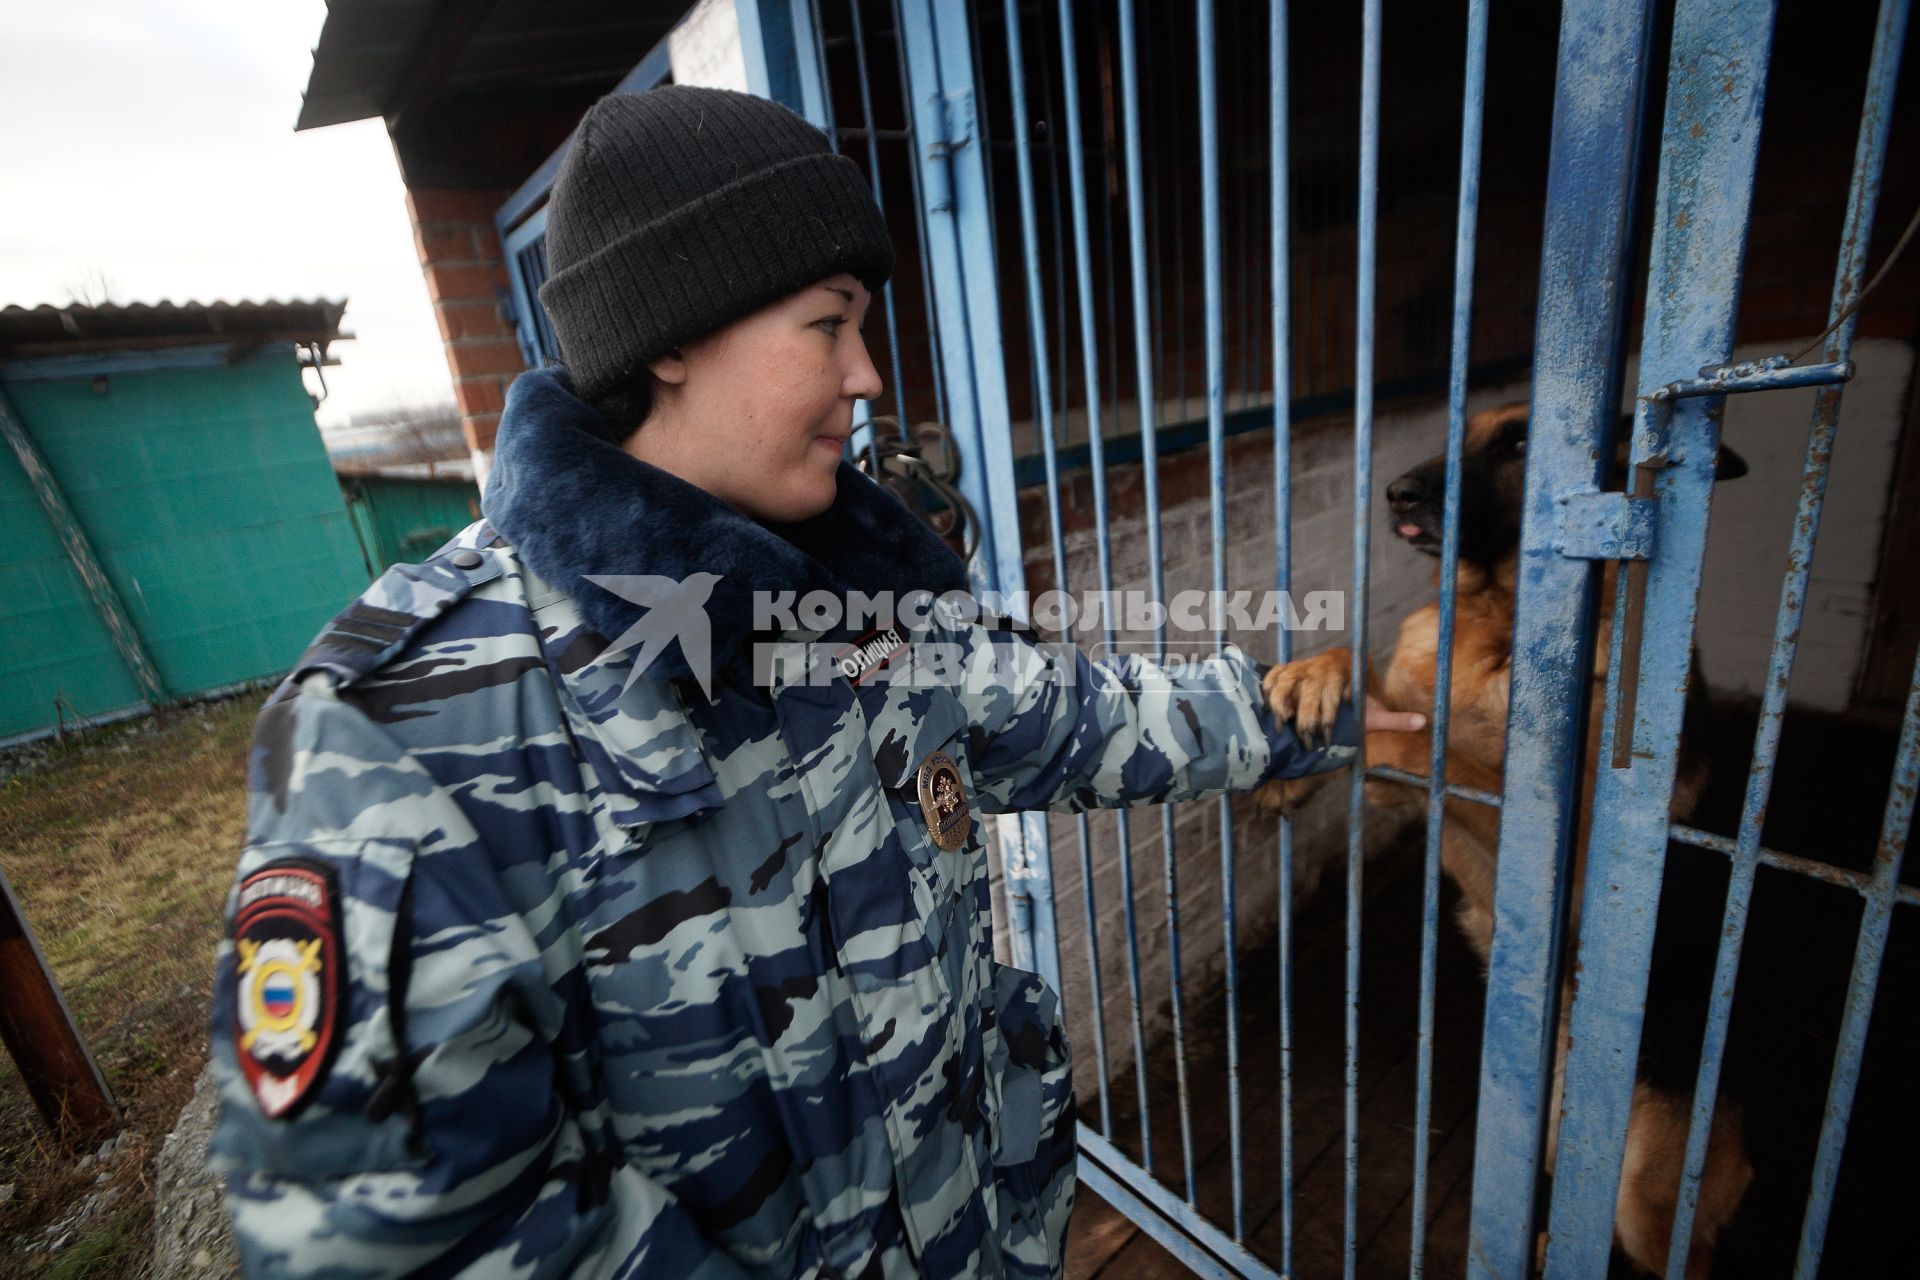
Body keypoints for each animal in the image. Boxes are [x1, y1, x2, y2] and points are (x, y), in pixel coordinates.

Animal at [1251, 404, 1758, 1274]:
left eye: (1522, 443)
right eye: (1459, 430)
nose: (1396, 493)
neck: (1499, 613)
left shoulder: (1548, 832)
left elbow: (1427, 746)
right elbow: (1370, 678)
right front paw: (1310, 687)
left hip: (1641, 1191)